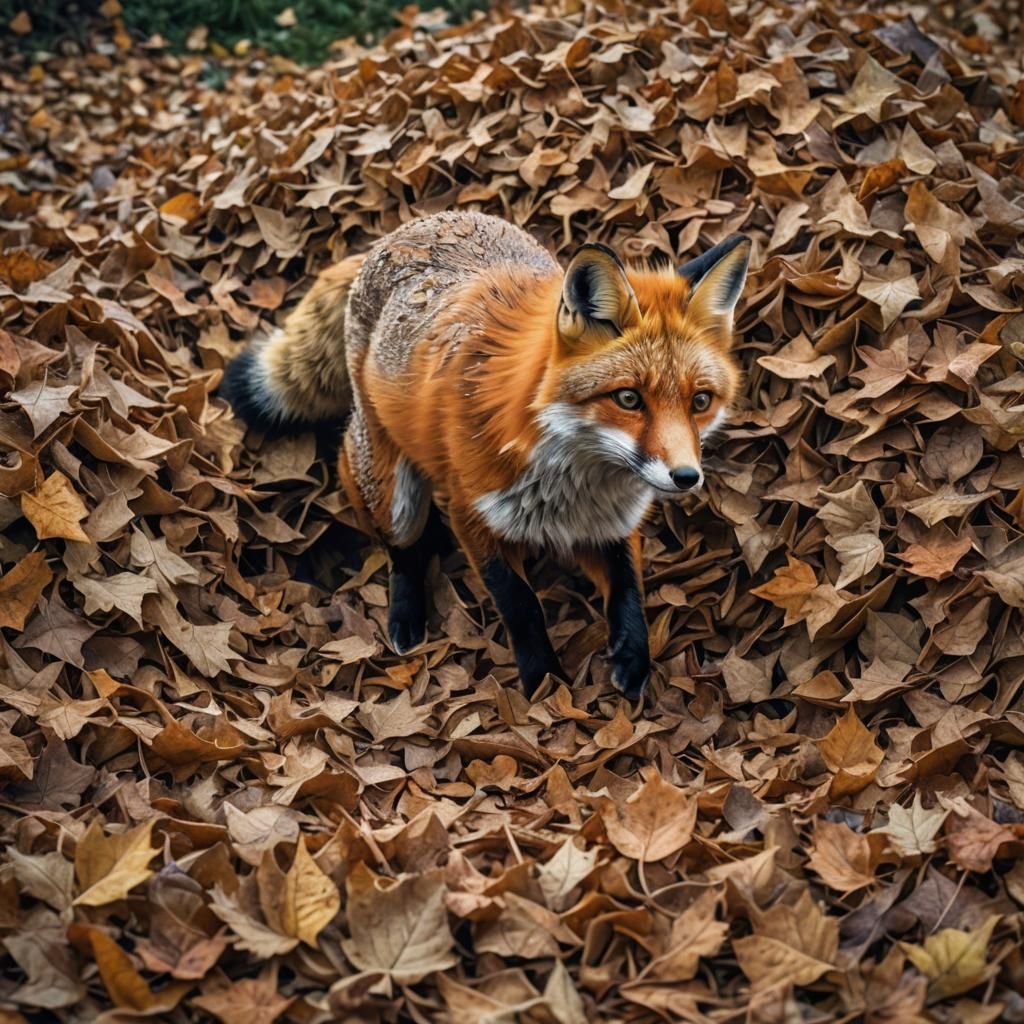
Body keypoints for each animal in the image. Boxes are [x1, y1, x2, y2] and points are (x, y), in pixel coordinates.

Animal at [221, 212, 749, 700]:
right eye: (628, 399)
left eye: (700, 401)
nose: (686, 477)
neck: (573, 484)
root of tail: (405, 228)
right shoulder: (471, 512)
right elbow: (520, 603)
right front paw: (542, 679)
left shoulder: (610, 526)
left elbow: (629, 589)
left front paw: (632, 655)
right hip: (392, 493)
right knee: (401, 547)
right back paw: (405, 615)